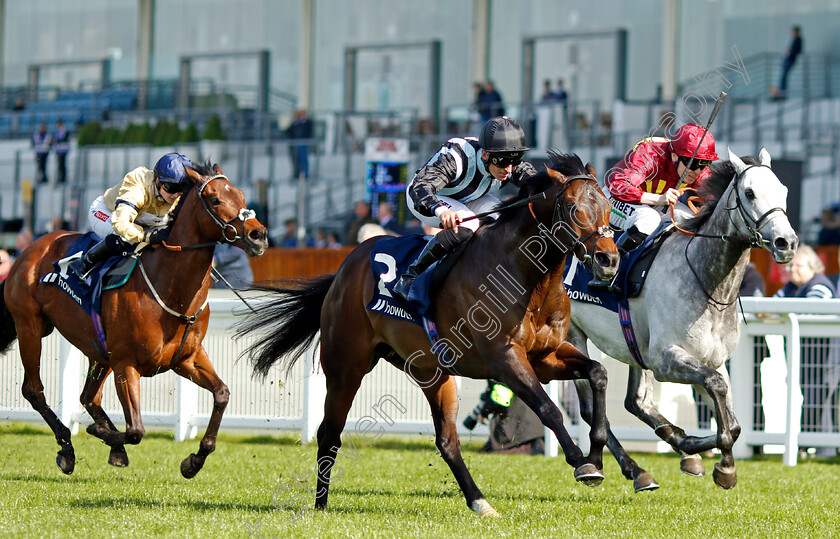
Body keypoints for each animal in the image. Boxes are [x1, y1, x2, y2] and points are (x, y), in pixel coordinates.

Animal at [0, 160, 268, 476]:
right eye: (214, 199)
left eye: (241, 194)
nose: (258, 235)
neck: (170, 288)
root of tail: (30, 249)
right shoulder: (126, 364)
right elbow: (136, 430)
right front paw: (100, 433)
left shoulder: (186, 358)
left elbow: (222, 394)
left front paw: (193, 461)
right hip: (30, 327)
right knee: (34, 390)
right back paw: (67, 447)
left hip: (98, 350)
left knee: (88, 397)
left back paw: (109, 445)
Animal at [240, 153, 620, 520]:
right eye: (571, 207)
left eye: (607, 206)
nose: (608, 259)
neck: (527, 276)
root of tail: (345, 268)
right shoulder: (505, 359)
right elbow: (548, 408)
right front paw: (581, 462)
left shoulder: (545, 356)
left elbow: (598, 374)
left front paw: (597, 454)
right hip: (345, 368)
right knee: (329, 433)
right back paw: (320, 504)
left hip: (432, 373)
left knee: (447, 441)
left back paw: (480, 503)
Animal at [568, 149, 796, 494]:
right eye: (750, 193)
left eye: (783, 190)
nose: (787, 243)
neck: (707, 282)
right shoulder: (667, 359)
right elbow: (718, 393)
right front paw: (724, 466)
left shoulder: (710, 360)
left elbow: (733, 421)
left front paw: (697, 451)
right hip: (573, 333)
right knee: (591, 408)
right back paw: (624, 467)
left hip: (635, 348)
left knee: (637, 402)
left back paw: (664, 456)